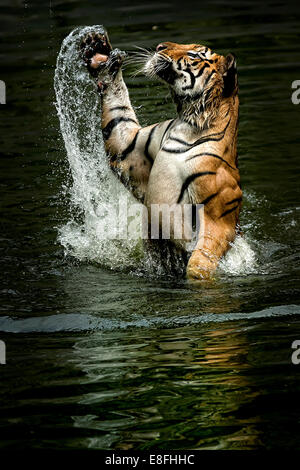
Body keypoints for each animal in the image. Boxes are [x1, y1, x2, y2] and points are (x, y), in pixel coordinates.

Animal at [79, 28, 241, 280]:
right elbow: (119, 120)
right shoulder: (131, 149)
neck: (188, 122)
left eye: (193, 54)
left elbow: (201, 259)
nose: (159, 46)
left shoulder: (217, 211)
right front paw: (98, 53)